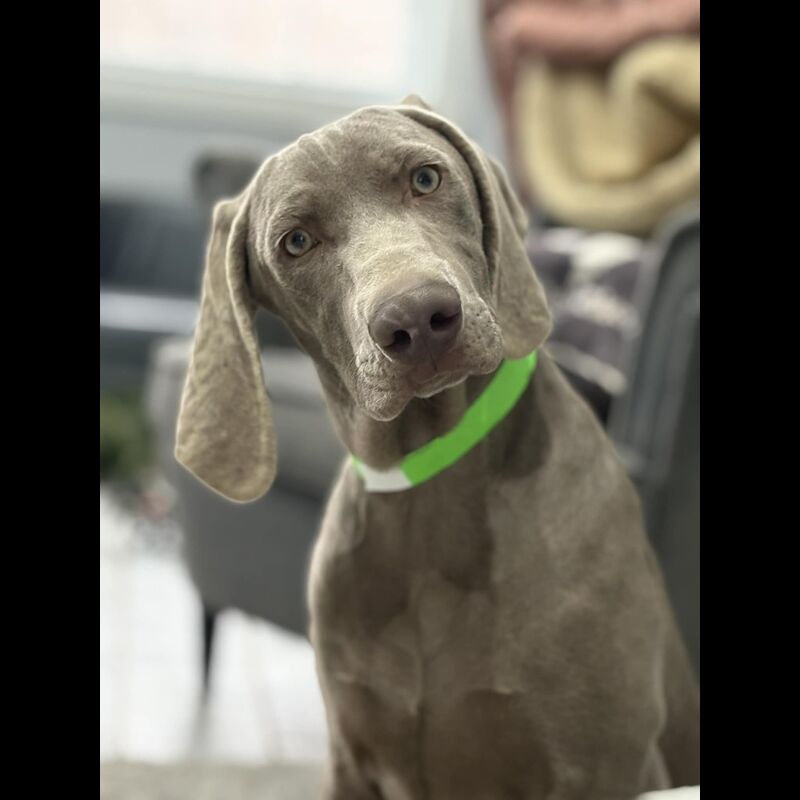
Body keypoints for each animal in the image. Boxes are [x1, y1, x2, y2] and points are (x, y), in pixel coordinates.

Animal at [175, 97, 700, 799]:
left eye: (426, 178)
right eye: (296, 241)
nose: (417, 319)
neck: (430, 481)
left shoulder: (608, 763)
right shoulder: (352, 759)